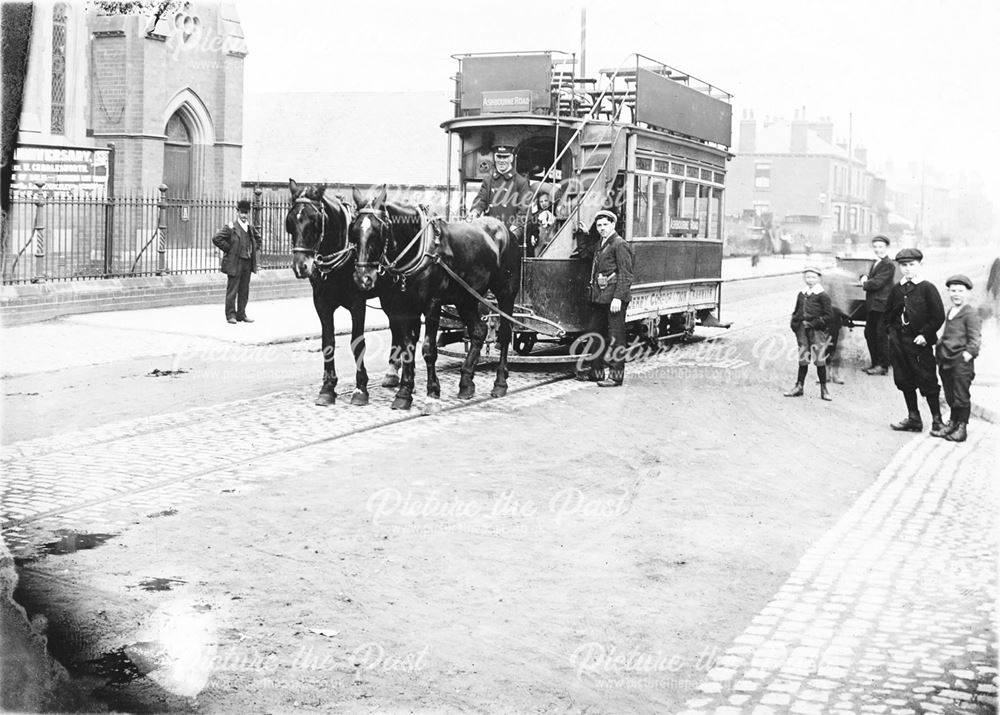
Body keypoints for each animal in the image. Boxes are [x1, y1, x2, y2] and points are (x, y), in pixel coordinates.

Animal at [286, 180, 398, 408]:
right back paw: (392, 373)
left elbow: (357, 343)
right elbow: (328, 342)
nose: (301, 266)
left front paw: (361, 389)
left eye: (314, 220)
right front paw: (327, 388)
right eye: (290, 221)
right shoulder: (321, 304)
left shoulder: (357, 304)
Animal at [350, 185, 520, 412]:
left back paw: (500, 382)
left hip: (505, 293)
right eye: (353, 231)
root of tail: (504, 228)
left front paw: (432, 393)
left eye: (378, 231)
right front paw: (404, 393)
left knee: (505, 333)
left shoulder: (432, 305)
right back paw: (466, 382)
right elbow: (407, 348)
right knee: (478, 331)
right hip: (466, 298)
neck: (417, 249)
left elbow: (428, 349)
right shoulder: (401, 309)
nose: (363, 278)